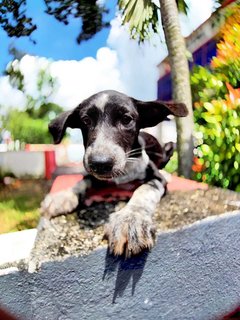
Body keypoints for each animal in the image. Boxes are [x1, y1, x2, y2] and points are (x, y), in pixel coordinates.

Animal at [40, 89, 188, 255]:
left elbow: (144, 191)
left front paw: (130, 218)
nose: (100, 163)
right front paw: (65, 196)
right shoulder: (93, 175)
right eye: (86, 120)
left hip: (166, 149)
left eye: (126, 119)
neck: (124, 171)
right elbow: (82, 181)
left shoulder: (156, 178)